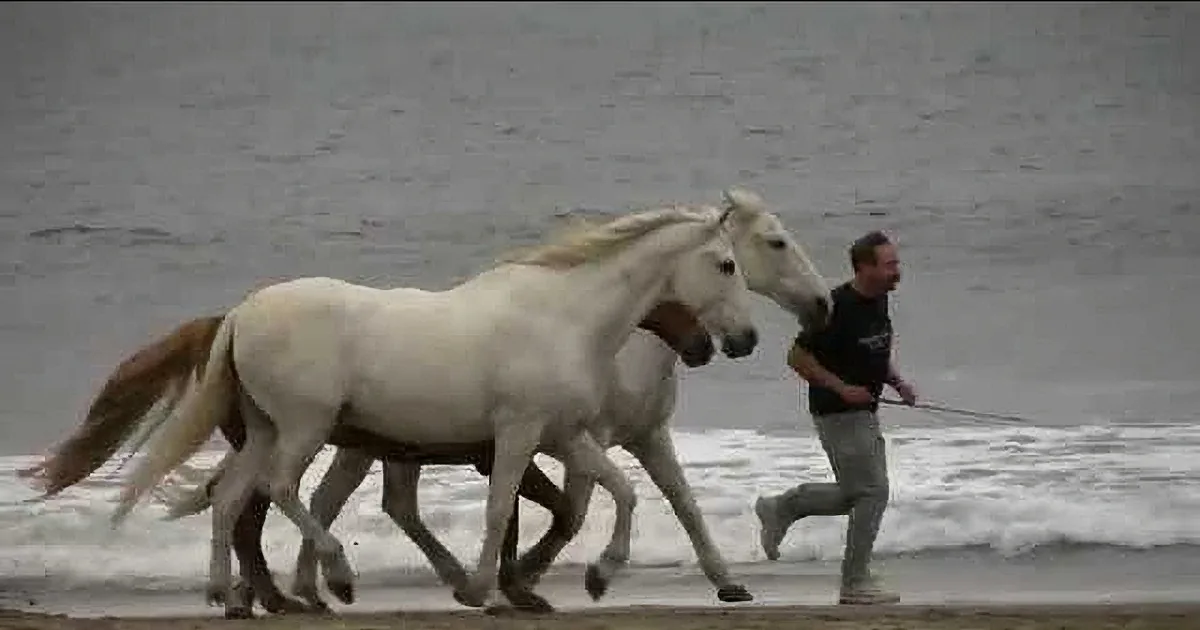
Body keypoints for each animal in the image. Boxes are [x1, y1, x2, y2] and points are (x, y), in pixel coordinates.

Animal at [171, 187, 831, 611]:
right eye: (731, 262)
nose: (741, 341)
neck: (568, 319)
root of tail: (239, 314)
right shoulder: (520, 432)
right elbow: (505, 507)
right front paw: (485, 589)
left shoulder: (568, 434)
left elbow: (623, 494)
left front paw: (598, 575)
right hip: (305, 427)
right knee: (283, 490)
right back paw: (333, 576)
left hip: (270, 430)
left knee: (233, 497)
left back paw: (232, 595)